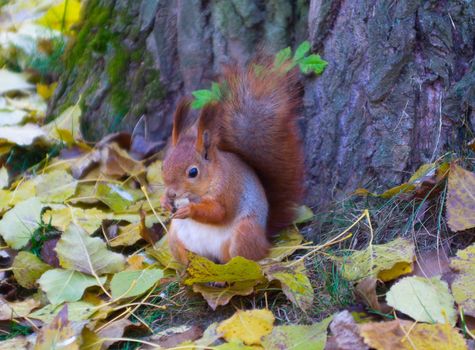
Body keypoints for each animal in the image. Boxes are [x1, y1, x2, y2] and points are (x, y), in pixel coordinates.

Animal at [160, 61, 304, 264]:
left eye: (193, 172)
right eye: (163, 166)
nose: (172, 193)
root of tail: (264, 238)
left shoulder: (229, 189)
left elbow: (219, 213)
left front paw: (189, 210)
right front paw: (164, 201)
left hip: (243, 234)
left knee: (241, 260)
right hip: (176, 240)